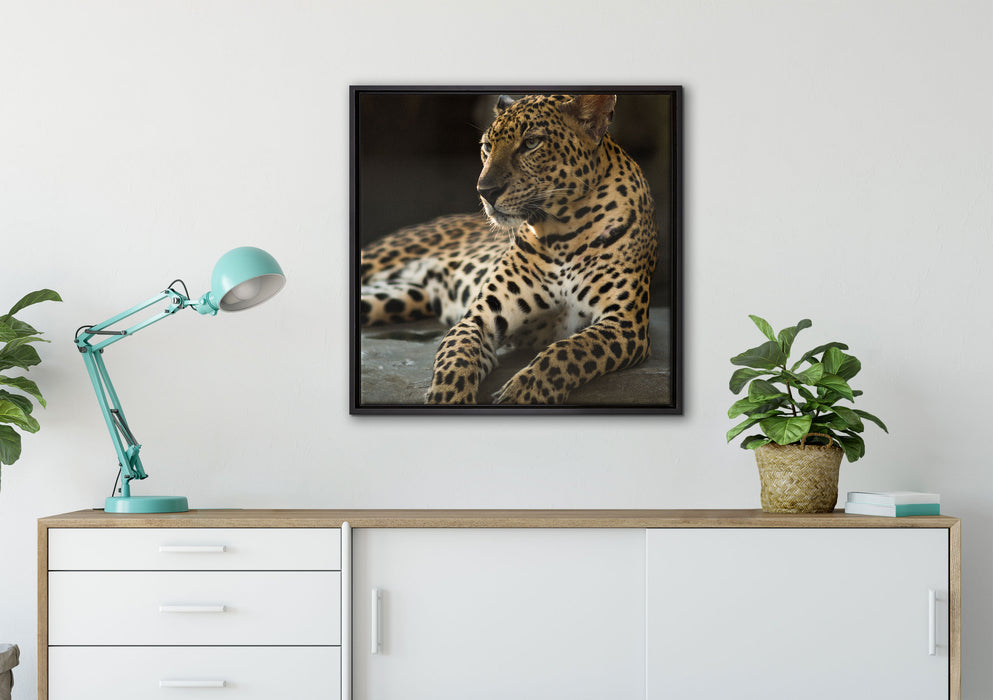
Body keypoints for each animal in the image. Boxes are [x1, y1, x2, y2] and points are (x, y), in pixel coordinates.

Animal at [359, 93, 658, 405]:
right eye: (487, 147)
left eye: (531, 143)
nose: (485, 191)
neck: (562, 233)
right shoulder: (480, 318)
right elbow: (456, 356)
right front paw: (448, 398)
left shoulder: (624, 323)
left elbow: (569, 351)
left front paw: (523, 393)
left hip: (395, 298)